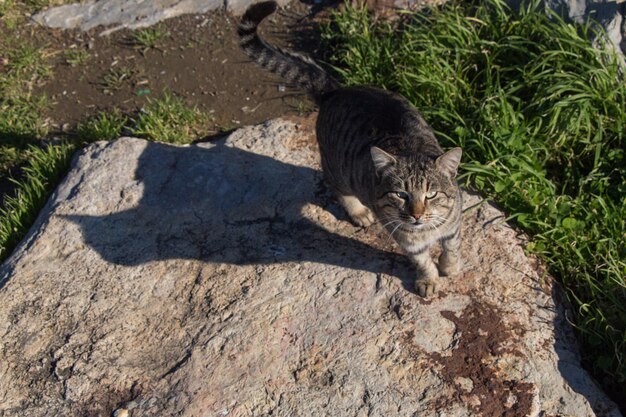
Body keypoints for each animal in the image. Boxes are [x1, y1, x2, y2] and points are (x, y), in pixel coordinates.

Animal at [236, 1, 460, 298]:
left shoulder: (453, 224)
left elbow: (451, 247)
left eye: (432, 194)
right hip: (337, 168)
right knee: (336, 185)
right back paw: (358, 211)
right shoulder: (405, 239)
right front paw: (429, 279)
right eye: (400, 194)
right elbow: (422, 259)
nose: (416, 215)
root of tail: (335, 91)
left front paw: (450, 267)